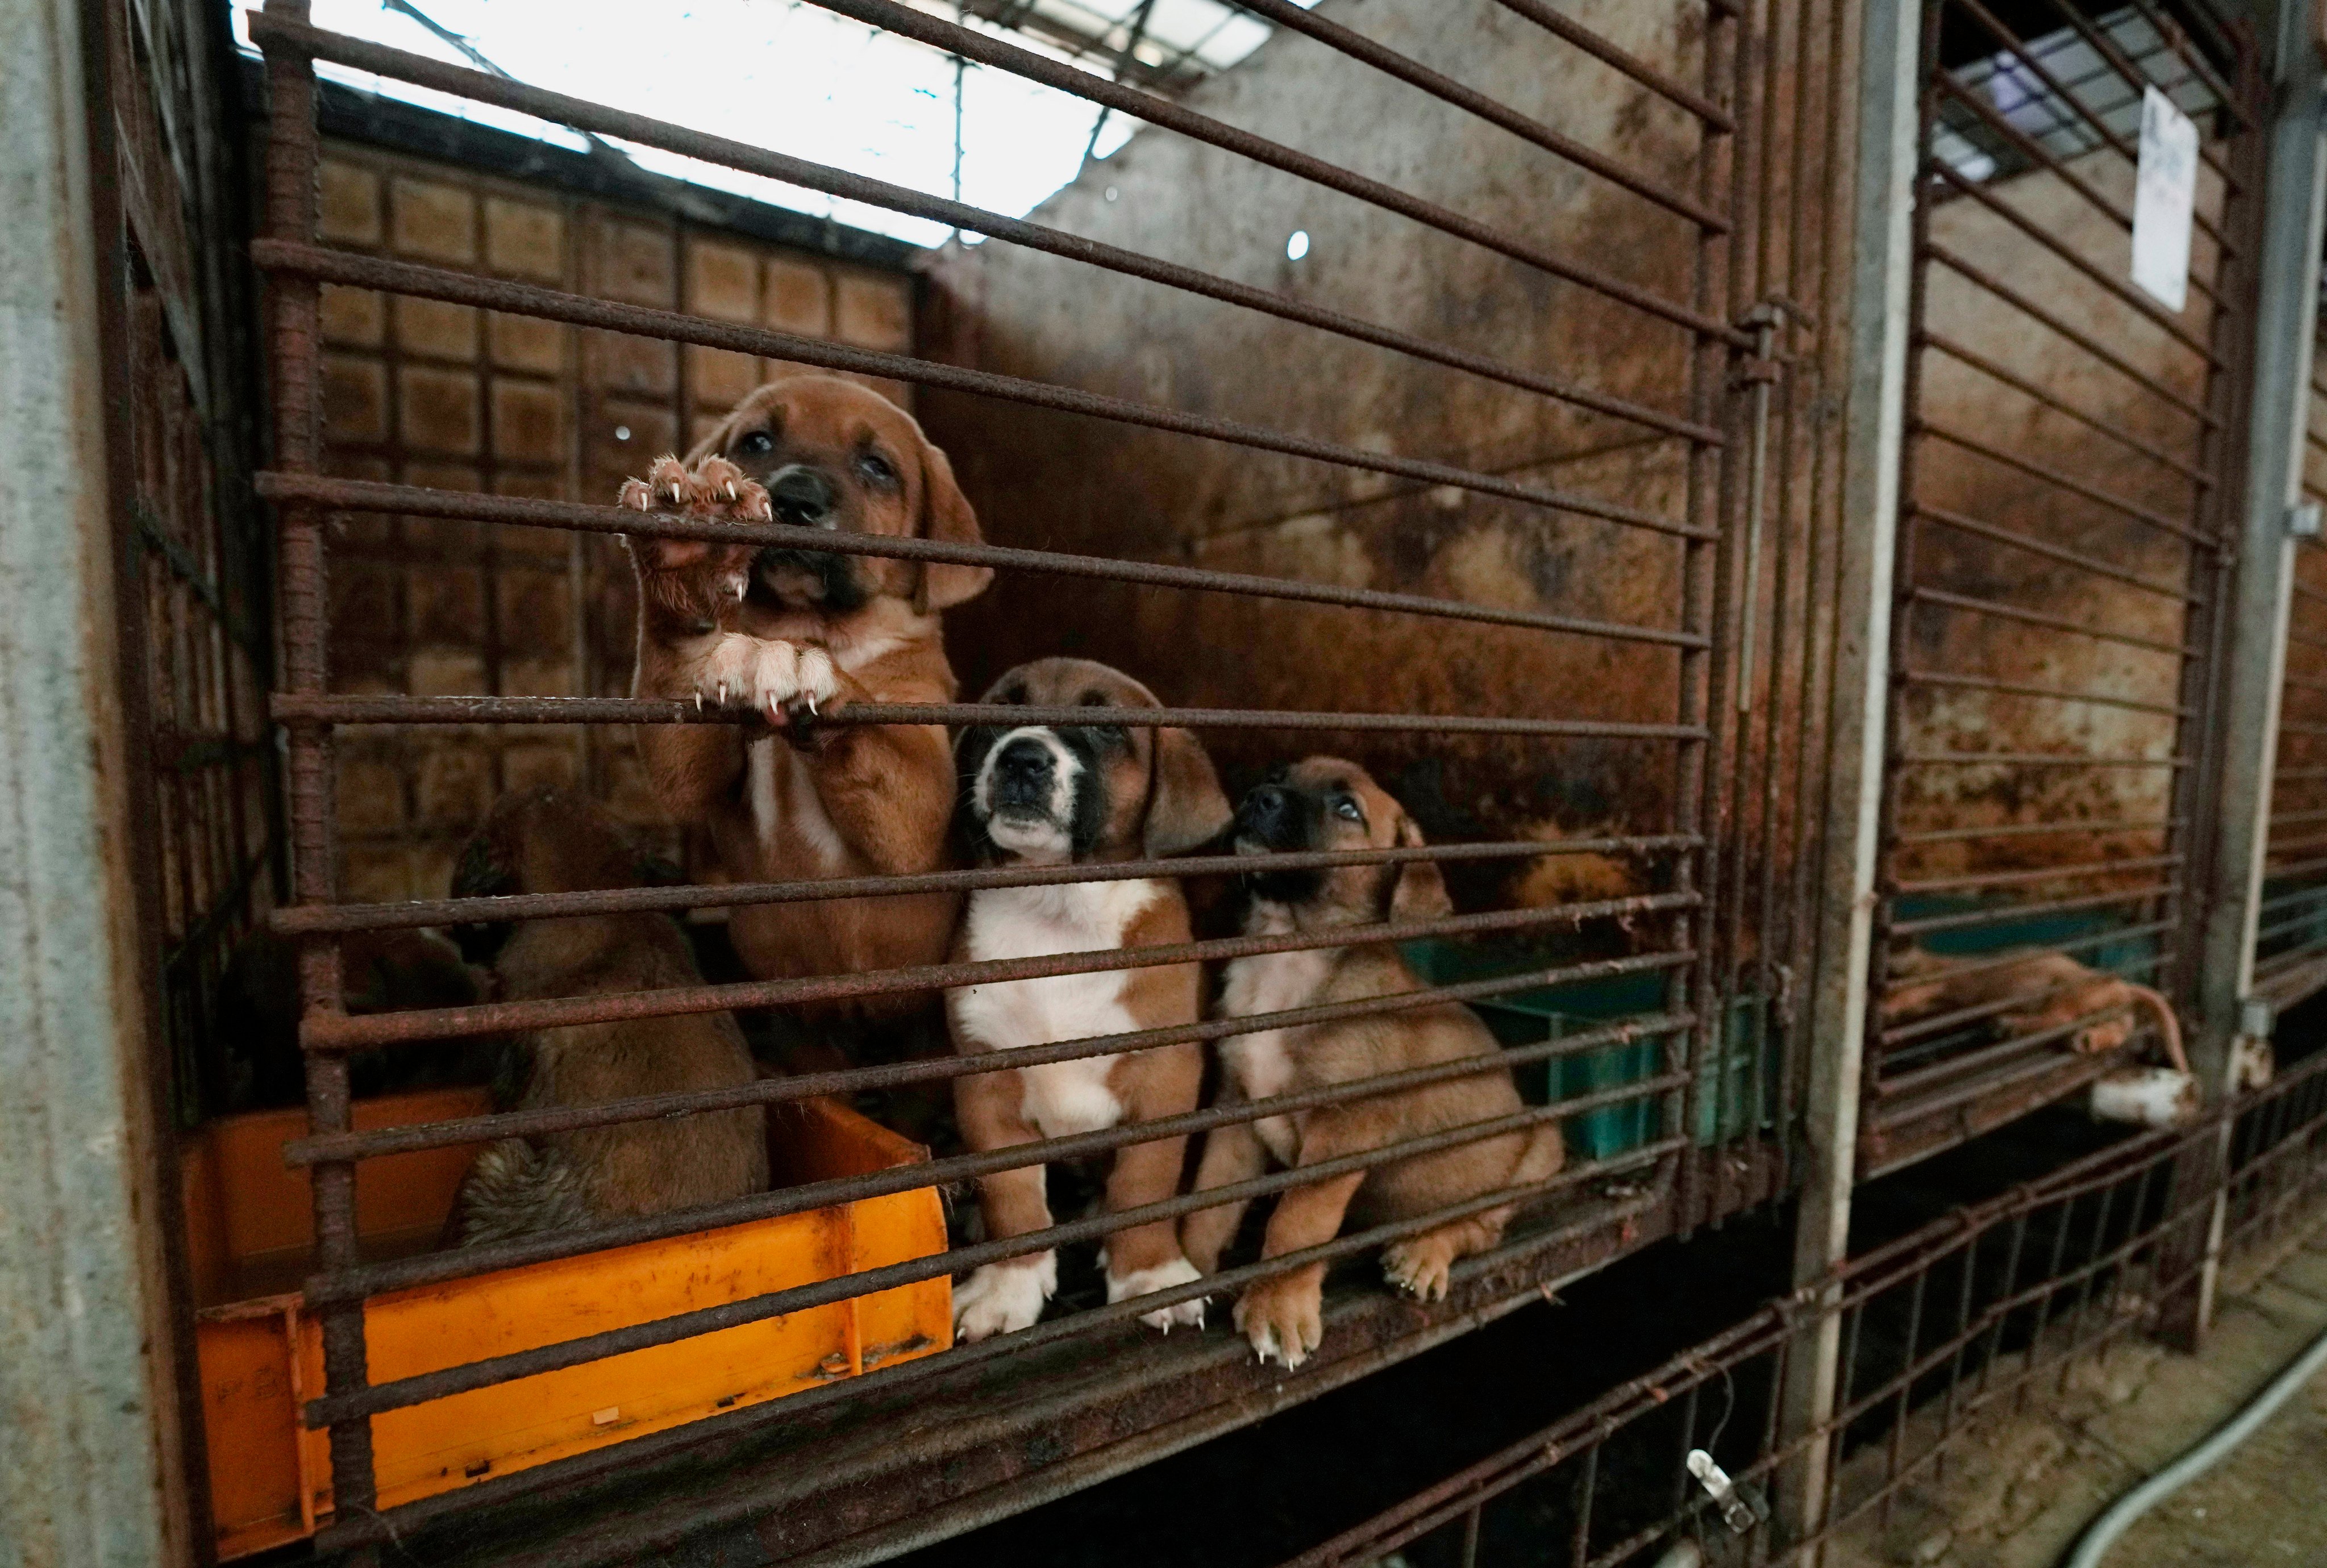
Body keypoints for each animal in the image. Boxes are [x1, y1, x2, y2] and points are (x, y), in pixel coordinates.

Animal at [614, 370, 986, 1010]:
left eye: (878, 467)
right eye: (758, 441)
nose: (795, 500)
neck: (810, 624)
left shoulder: (921, 808)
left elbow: (873, 735)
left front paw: (799, 667)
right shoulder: (694, 767)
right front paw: (687, 557)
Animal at [944, 651, 1238, 1340]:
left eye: (1106, 729)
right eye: (1002, 711)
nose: (1022, 758)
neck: (1060, 913)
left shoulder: (1164, 1082)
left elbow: (1142, 1187)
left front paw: (1150, 1274)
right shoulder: (984, 1088)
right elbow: (1013, 1202)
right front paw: (1007, 1288)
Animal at [1182, 758, 1563, 1367]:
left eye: (1347, 809)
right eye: (1279, 775)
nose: (1258, 796)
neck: (1288, 954)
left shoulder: (1346, 1125)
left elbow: (1297, 1224)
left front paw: (1277, 1305)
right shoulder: (1236, 1109)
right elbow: (1209, 1203)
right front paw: (1183, 1275)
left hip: (1537, 1152)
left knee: (1478, 1228)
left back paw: (1424, 1252)